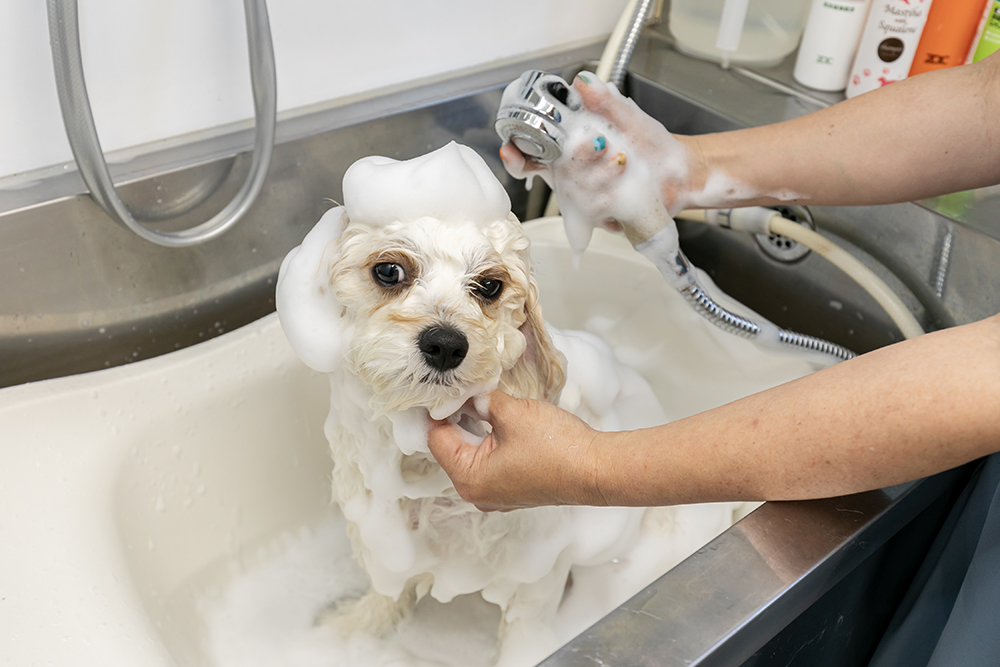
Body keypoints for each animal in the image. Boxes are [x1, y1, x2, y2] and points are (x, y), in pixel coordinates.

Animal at [278, 144, 704, 664]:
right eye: (389, 270)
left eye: (489, 285)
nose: (445, 344)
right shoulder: (384, 535)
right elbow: (386, 591)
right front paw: (350, 631)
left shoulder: (537, 566)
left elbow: (523, 630)